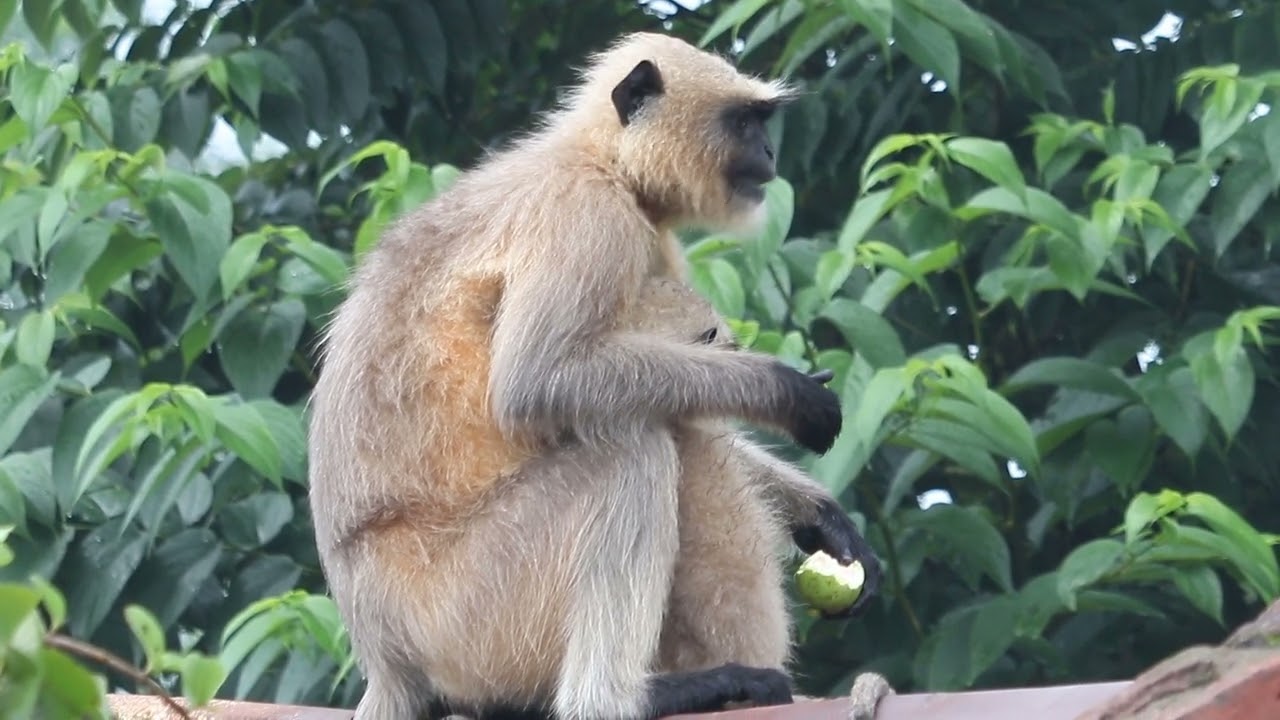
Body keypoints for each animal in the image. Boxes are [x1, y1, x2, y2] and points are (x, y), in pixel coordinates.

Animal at [308, 31, 884, 720]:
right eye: (744, 123)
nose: (768, 152)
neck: (601, 159)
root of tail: (384, 655)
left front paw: (821, 515)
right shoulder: (585, 214)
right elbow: (538, 382)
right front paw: (783, 391)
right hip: (461, 611)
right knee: (630, 448)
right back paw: (621, 696)